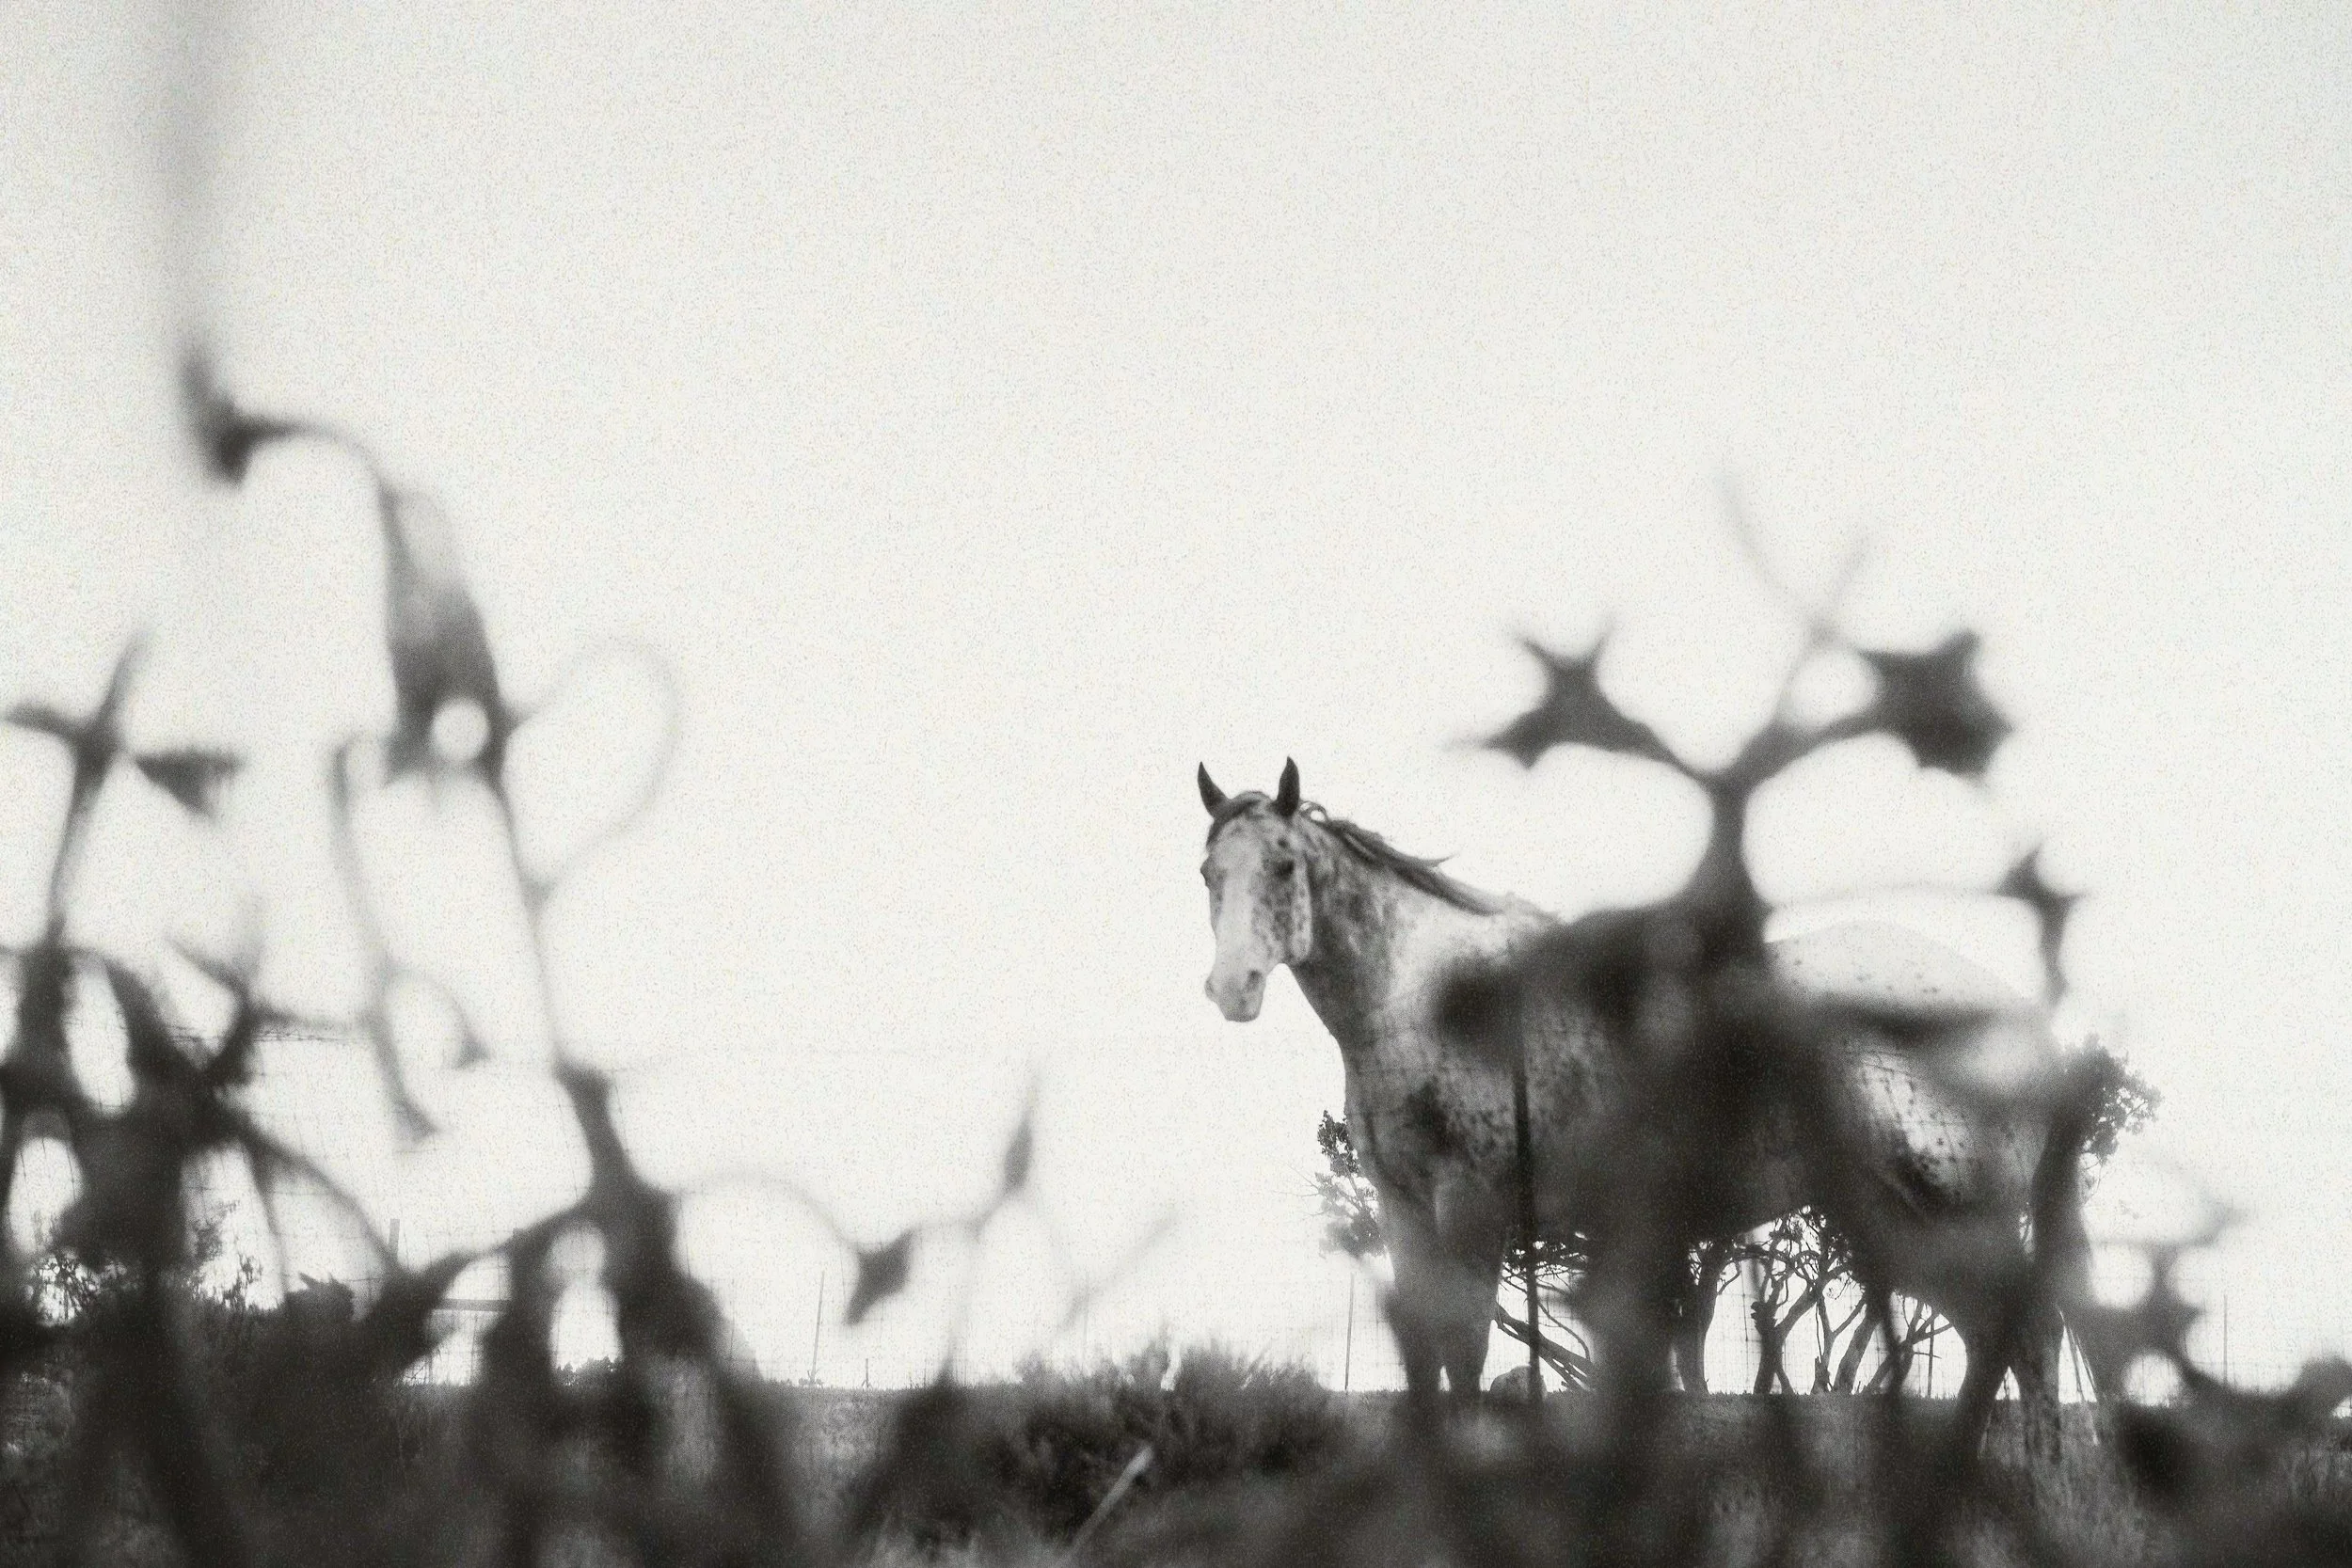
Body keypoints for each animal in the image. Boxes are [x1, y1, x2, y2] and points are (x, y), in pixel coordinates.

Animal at [1196, 759, 2072, 1432]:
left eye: (1282, 865)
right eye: (1210, 872)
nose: (1231, 988)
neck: (1423, 1000)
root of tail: (2022, 1019)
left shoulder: (1472, 1204)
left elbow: (1468, 1356)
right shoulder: (1403, 1209)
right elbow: (1428, 1365)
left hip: (1959, 1209)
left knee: (2031, 1333)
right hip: (1898, 1223)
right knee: (1991, 1335)